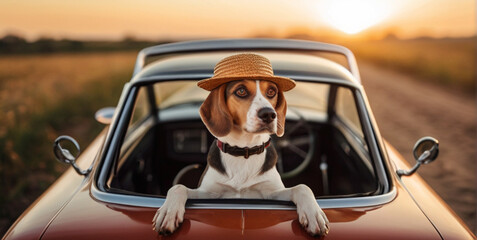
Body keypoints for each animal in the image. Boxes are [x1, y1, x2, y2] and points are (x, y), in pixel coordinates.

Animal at [152, 53, 328, 236]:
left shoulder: (271, 193)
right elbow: (178, 187)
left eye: (271, 91)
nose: (269, 114)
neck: (244, 150)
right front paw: (168, 212)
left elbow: (302, 187)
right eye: (241, 91)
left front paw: (313, 213)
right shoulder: (208, 194)